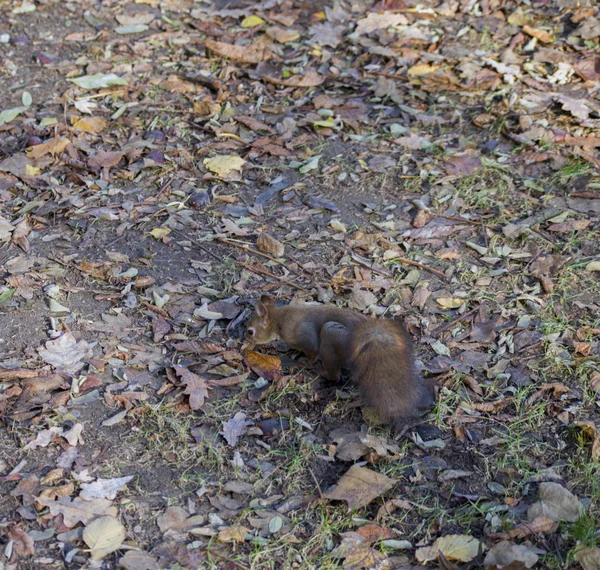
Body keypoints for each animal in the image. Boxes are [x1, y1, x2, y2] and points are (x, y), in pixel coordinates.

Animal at [245, 292, 436, 430]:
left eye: (250, 331)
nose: (245, 341)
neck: (280, 318)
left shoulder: (305, 338)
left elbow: (312, 353)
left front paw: (302, 363)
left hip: (331, 335)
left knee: (334, 375)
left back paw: (322, 372)